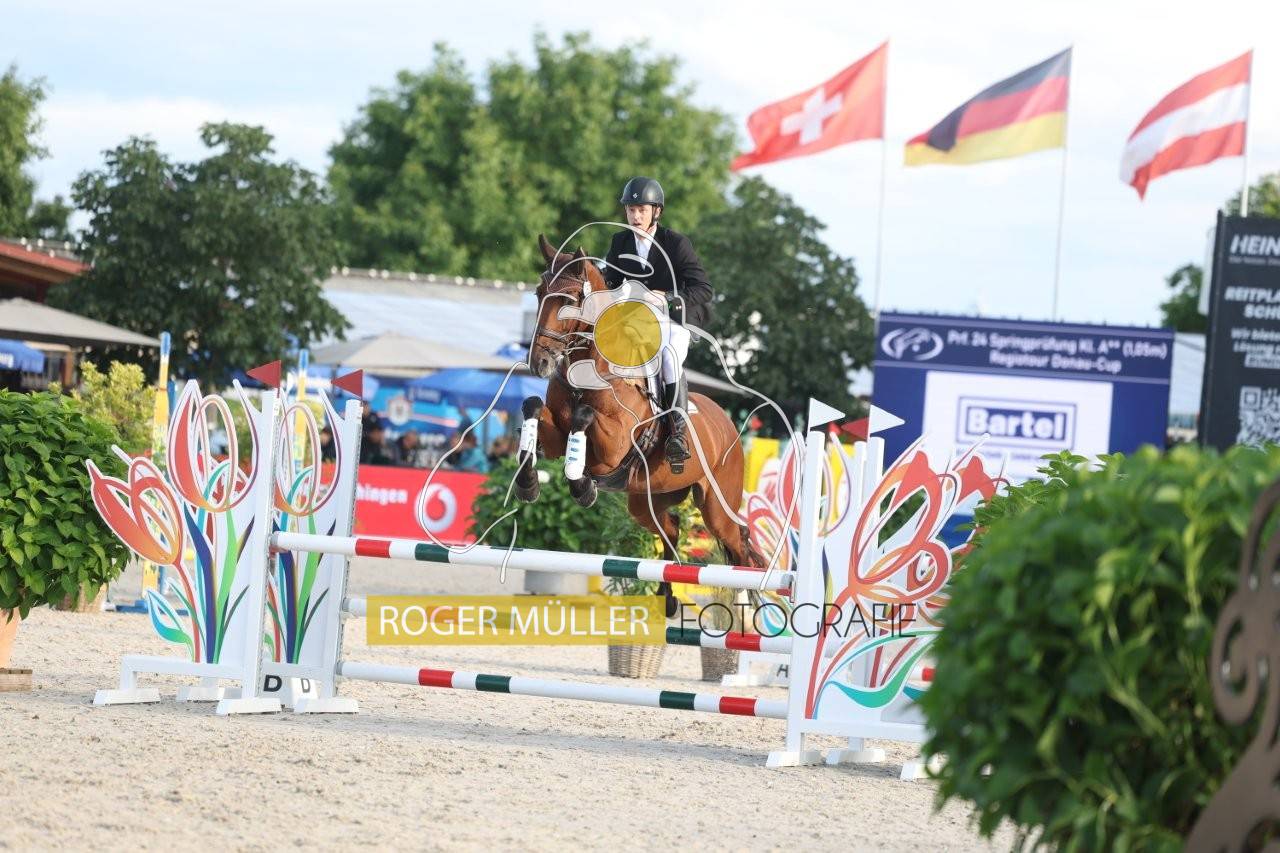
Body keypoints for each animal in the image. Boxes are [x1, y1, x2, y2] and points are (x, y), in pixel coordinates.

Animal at [515, 235, 762, 611]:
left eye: (569, 299)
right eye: (539, 292)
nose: (539, 362)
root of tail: (729, 425)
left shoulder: (613, 447)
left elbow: (584, 418)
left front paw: (582, 486)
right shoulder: (555, 433)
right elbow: (532, 406)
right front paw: (528, 483)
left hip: (717, 507)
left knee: (738, 542)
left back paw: (749, 609)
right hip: (646, 501)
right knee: (671, 528)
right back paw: (667, 598)